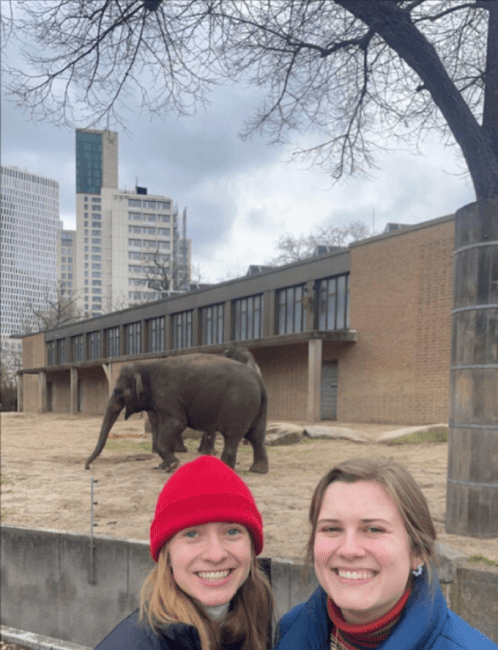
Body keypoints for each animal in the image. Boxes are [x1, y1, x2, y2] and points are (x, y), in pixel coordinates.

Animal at [84, 350, 268, 470]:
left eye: (117, 392)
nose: (87, 467)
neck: (148, 364)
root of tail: (259, 381)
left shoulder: (168, 395)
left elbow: (176, 423)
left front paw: (172, 465)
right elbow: (172, 426)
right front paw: (162, 465)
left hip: (237, 404)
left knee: (232, 435)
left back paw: (226, 468)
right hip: (258, 407)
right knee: (257, 435)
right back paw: (258, 470)